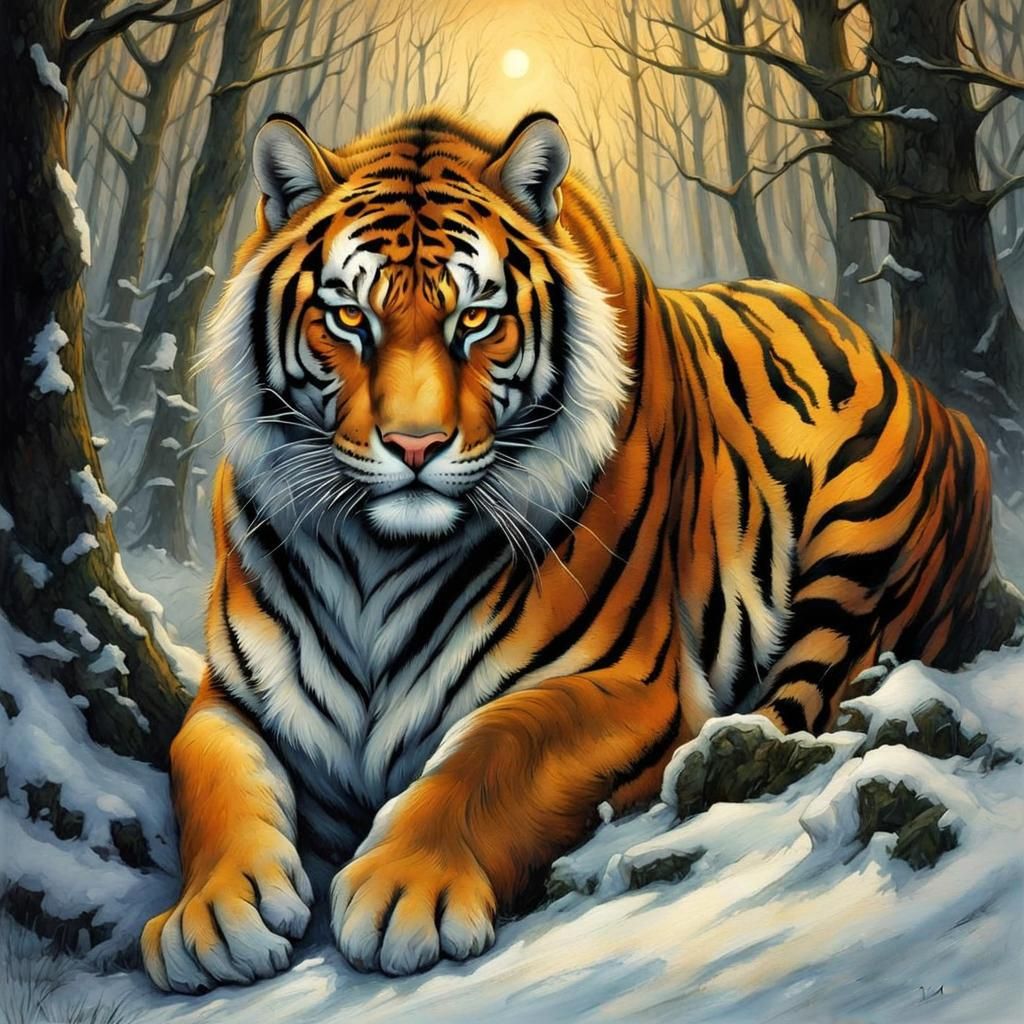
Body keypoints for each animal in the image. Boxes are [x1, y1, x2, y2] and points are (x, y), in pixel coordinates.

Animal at [141, 108, 1022, 991]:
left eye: (476, 319)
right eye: (351, 318)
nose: (416, 445)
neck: (377, 558)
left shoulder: (630, 683)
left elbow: (495, 751)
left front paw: (406, 888)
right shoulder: (236, 695)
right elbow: (208, 769)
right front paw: (212, 912)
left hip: (857, 556)